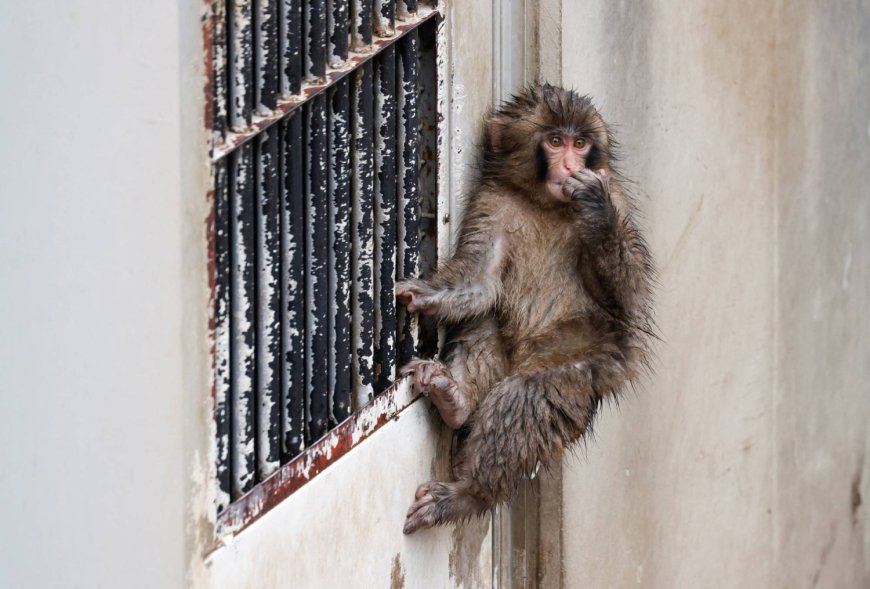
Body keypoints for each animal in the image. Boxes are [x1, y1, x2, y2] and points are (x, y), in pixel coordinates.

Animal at [395, 84, 655, 535]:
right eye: (554, 140)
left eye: (580, 143)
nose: (570, 164)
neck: (546, 204)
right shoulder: (491, 202)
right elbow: (480, 282)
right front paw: (424, 296)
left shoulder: (619, 199)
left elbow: (630, 303)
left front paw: (597, 211)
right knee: (483, 321)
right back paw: (455, 400)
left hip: (584, 366)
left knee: (525, 396)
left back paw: (469, 495)